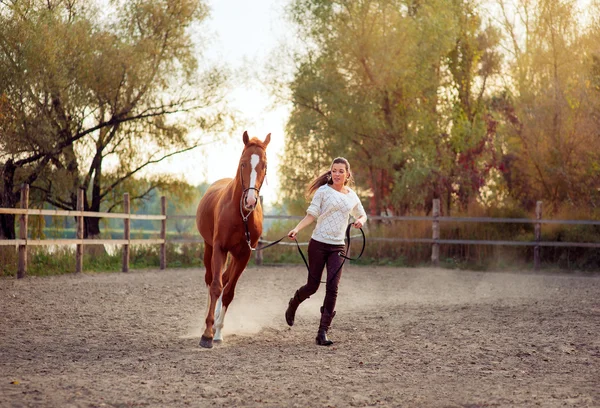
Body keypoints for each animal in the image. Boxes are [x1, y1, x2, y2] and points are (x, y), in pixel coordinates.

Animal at [196, 131, 270, 348]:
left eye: (264, 165)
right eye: (243, 163)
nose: (250, 201)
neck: (241, 215)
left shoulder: (244, 255)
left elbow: (228, 292)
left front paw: (218, 331)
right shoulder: (219, 248)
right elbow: (215, 287)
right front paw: (207, 334)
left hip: (233, 255)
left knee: (225, 279)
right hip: (209, 248)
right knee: (210, 279)